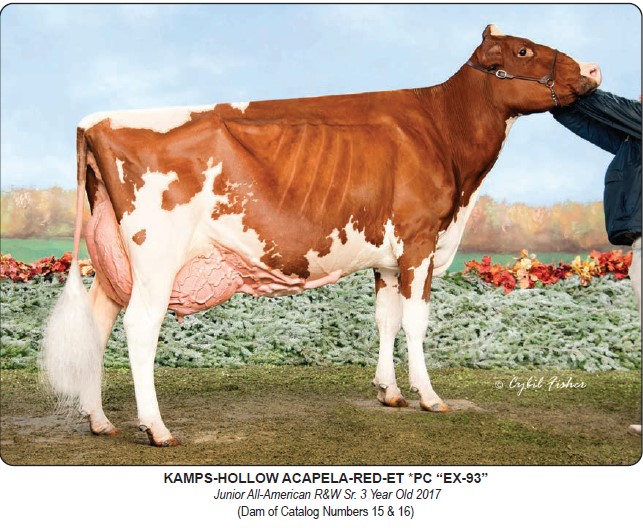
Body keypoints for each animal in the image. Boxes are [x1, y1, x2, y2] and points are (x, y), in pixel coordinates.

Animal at [41, 25, 601, 447]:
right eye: (524, 50)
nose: (593, 70)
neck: (441, 132)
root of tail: (97, 120)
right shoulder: (420, 241)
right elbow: (416, 323)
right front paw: (428, 396)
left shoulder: (387, 258)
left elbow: (386, 320)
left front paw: (388, 392)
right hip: (155, 255)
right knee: (139, 326)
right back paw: (156, 428)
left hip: (113, 257)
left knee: (98, 322)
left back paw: (99, 420)